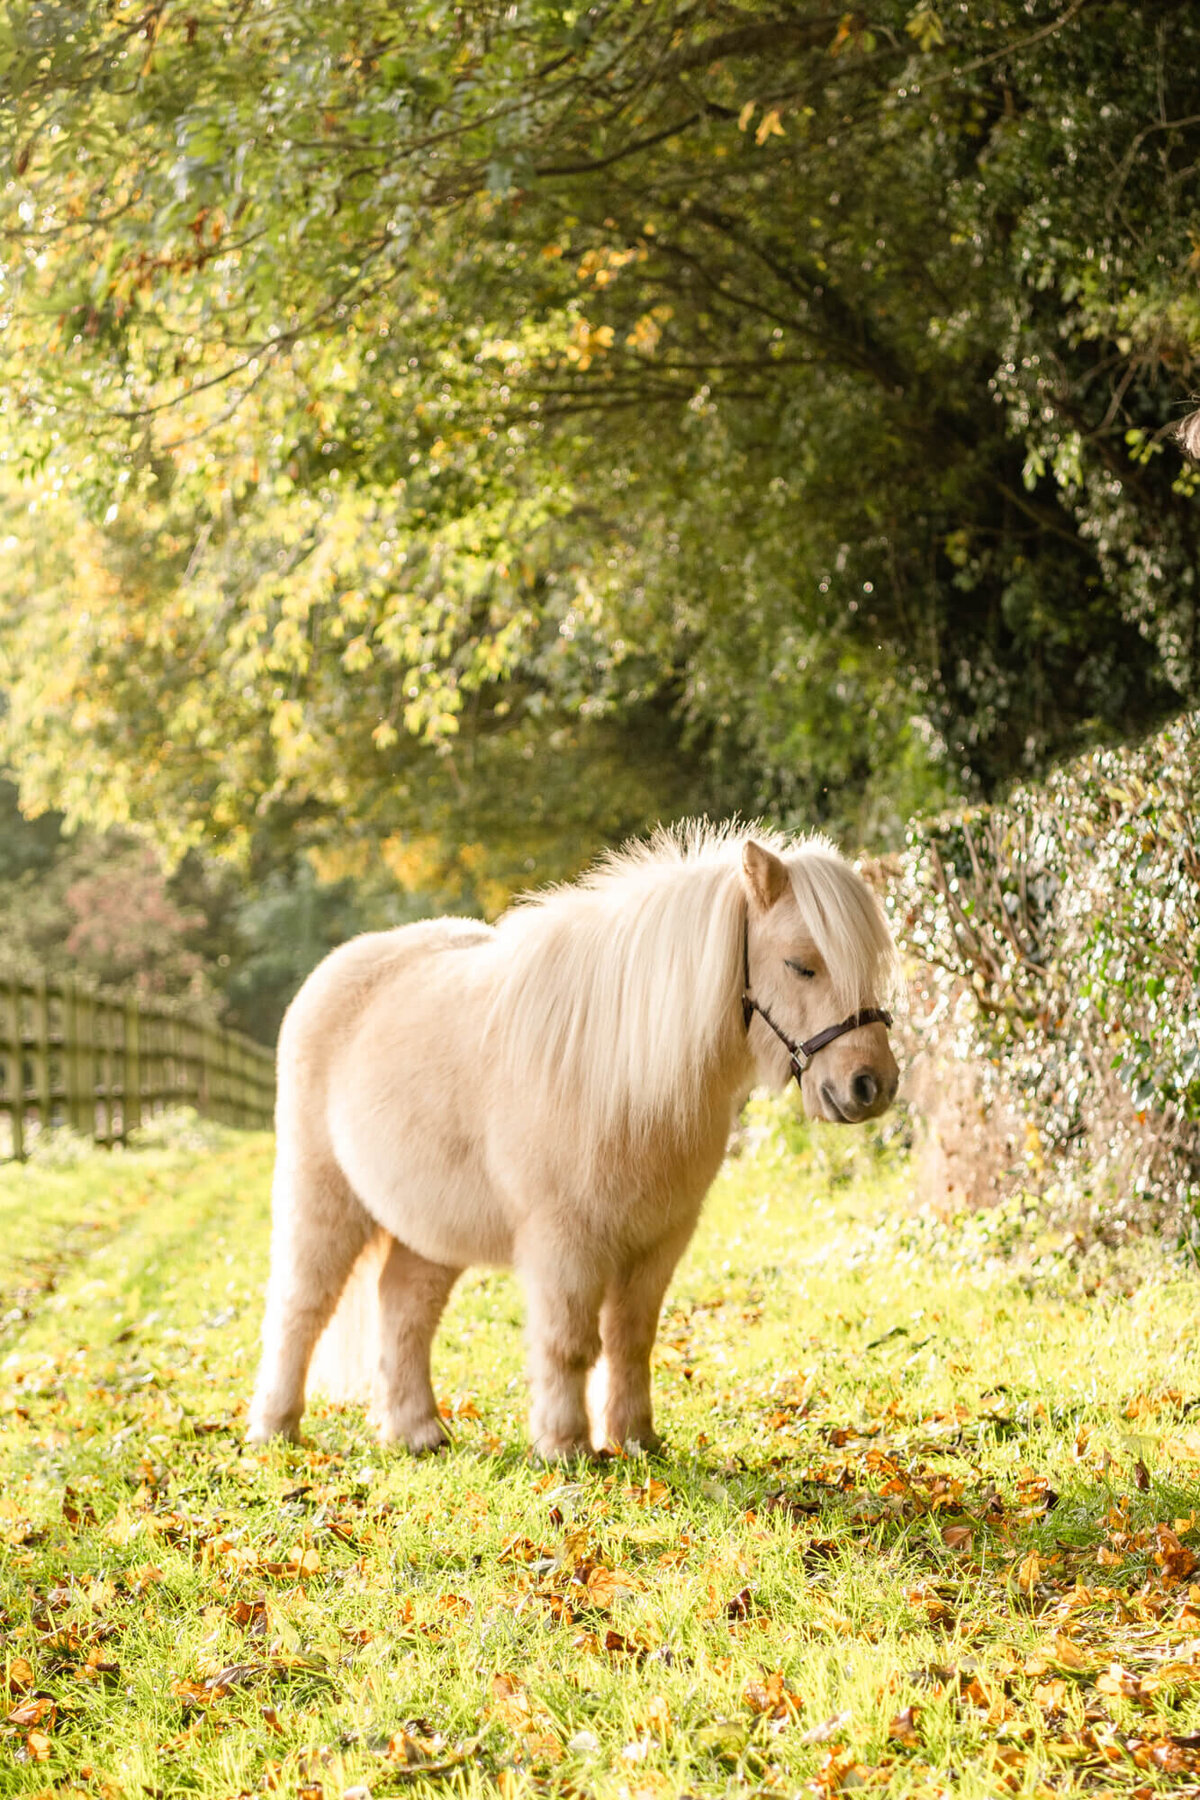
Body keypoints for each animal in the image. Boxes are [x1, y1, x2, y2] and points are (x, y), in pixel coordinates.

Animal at [248, 824, 895, 1454]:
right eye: (800, 965)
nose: (872, 1086)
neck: (624, 1075)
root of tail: (332, 973)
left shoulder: (658, 1240)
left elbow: (631, 1338)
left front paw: (635, 1440)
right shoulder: (565, 1241)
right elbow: (568, 1342)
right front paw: (565, 1446)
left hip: (428, 1227)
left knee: (404, 1308)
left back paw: (417, 1433)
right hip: (321, 1199)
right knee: (300, 1308)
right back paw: (273, 1431)